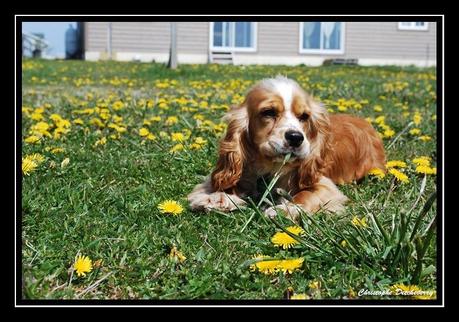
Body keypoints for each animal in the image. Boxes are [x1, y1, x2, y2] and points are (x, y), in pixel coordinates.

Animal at [189, 76, 386, 220]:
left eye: (304, 116)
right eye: (268, 112)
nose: (296, 137)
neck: (270, 167)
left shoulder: (326, 186)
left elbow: (306, 195)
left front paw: (287, 208)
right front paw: (216, 197)